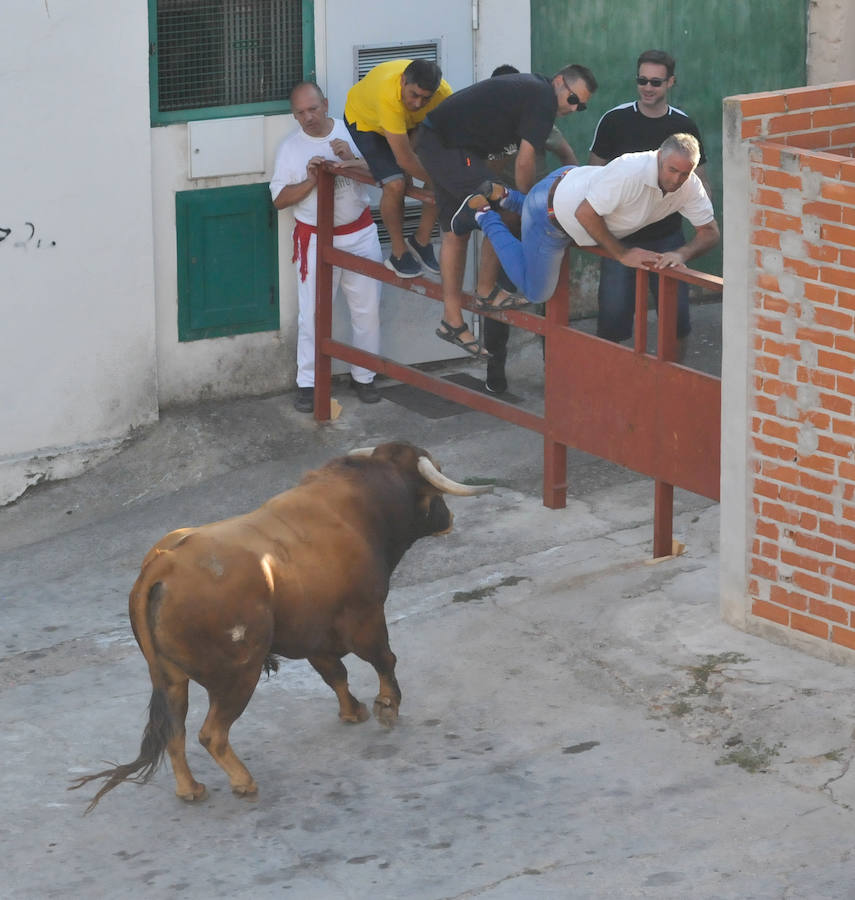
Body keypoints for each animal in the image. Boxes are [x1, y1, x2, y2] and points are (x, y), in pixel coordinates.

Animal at [70, 440, 492, 812]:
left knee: (175, 731)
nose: (449, 519)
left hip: (170, 678)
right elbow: (384, 659)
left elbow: (335, 673)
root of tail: (163, 563)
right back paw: (243, 782)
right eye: (432, 487)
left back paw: (191, 789)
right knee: (212, 733)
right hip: (238, 674)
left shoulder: (314, 634)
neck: (360, 508)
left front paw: (353, 711)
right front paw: (387, 706)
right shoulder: (366, 615)